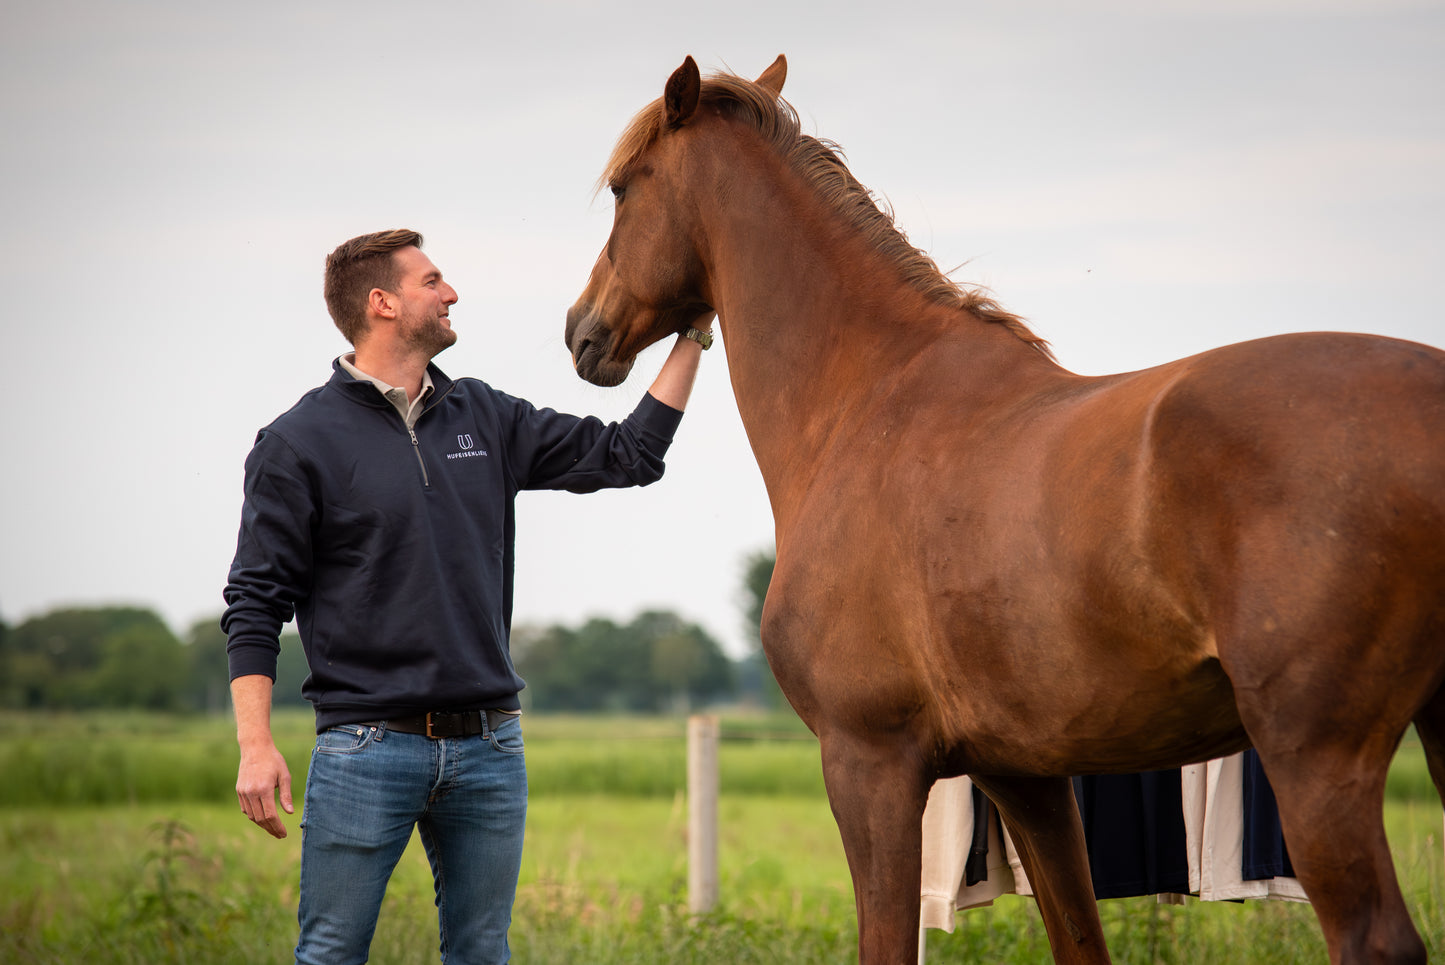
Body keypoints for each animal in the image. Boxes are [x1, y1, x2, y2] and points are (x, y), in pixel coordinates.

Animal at [560, 56, 1445, 959]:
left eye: (624, 188)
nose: (580, 331)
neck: (865, 400)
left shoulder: (868, 764)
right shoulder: (1025, 774)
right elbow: (1078, 936)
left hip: (1314, 759)